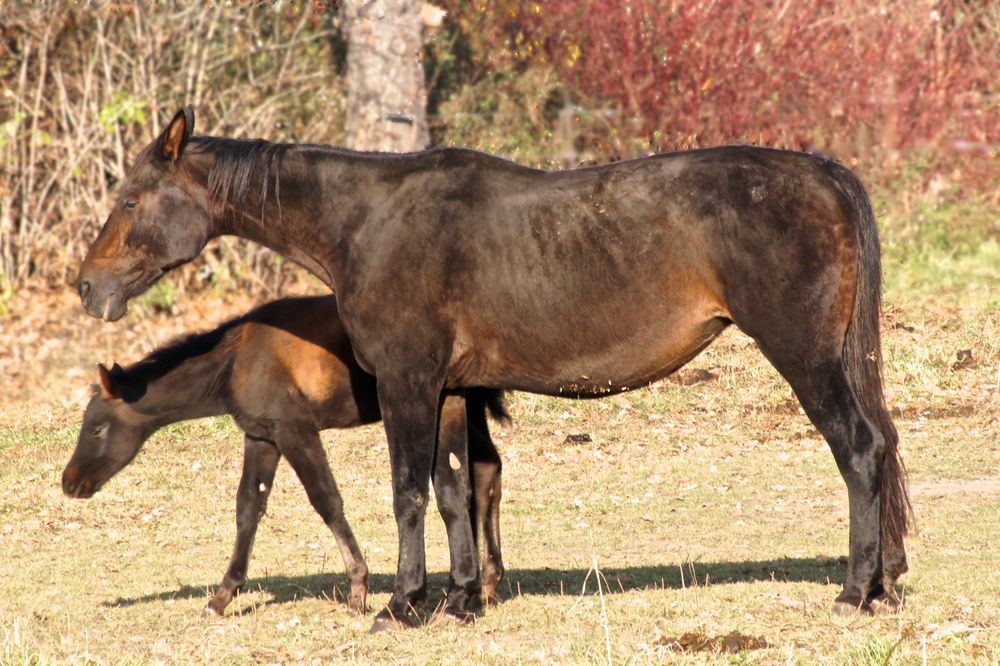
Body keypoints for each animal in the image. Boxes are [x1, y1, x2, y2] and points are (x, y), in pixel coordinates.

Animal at [62, 294, 508, 616]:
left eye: (96, 427)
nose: (69, 482)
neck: (237, 361)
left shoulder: (295, 431)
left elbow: (326, 501)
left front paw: (358, 589)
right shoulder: (261, 437)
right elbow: (248, 507)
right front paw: (222, 596)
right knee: (486, 471)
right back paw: (485, 582)